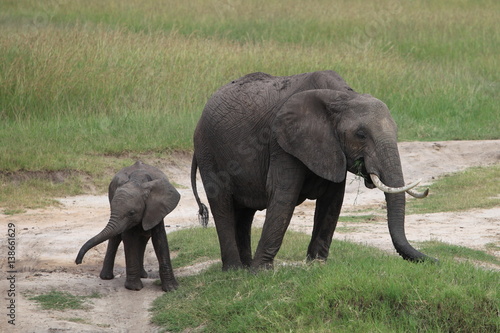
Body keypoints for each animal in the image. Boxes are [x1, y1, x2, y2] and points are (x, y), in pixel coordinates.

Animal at [75, 161, 181, 290]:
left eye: (131, 213)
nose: (78, 262)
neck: (138, 180)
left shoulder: (157, 208)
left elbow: (159, 239)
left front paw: (171, 289)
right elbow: (129, 238)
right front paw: (134, 288)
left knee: (144, 237)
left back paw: (142, 275)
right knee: (116, 238)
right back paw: (106, 277)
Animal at [189, 70, 432, 270]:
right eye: (361, 135)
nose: (435, 260)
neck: (341, 96)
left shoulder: (331, 147)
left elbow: (333, 200)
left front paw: (316, 264)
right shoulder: (281, 140)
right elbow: (283, 195)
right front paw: (262, 272)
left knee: (245, 211)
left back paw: (245, 267)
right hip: (208, 150)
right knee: (222, 204)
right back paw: (235, 270)